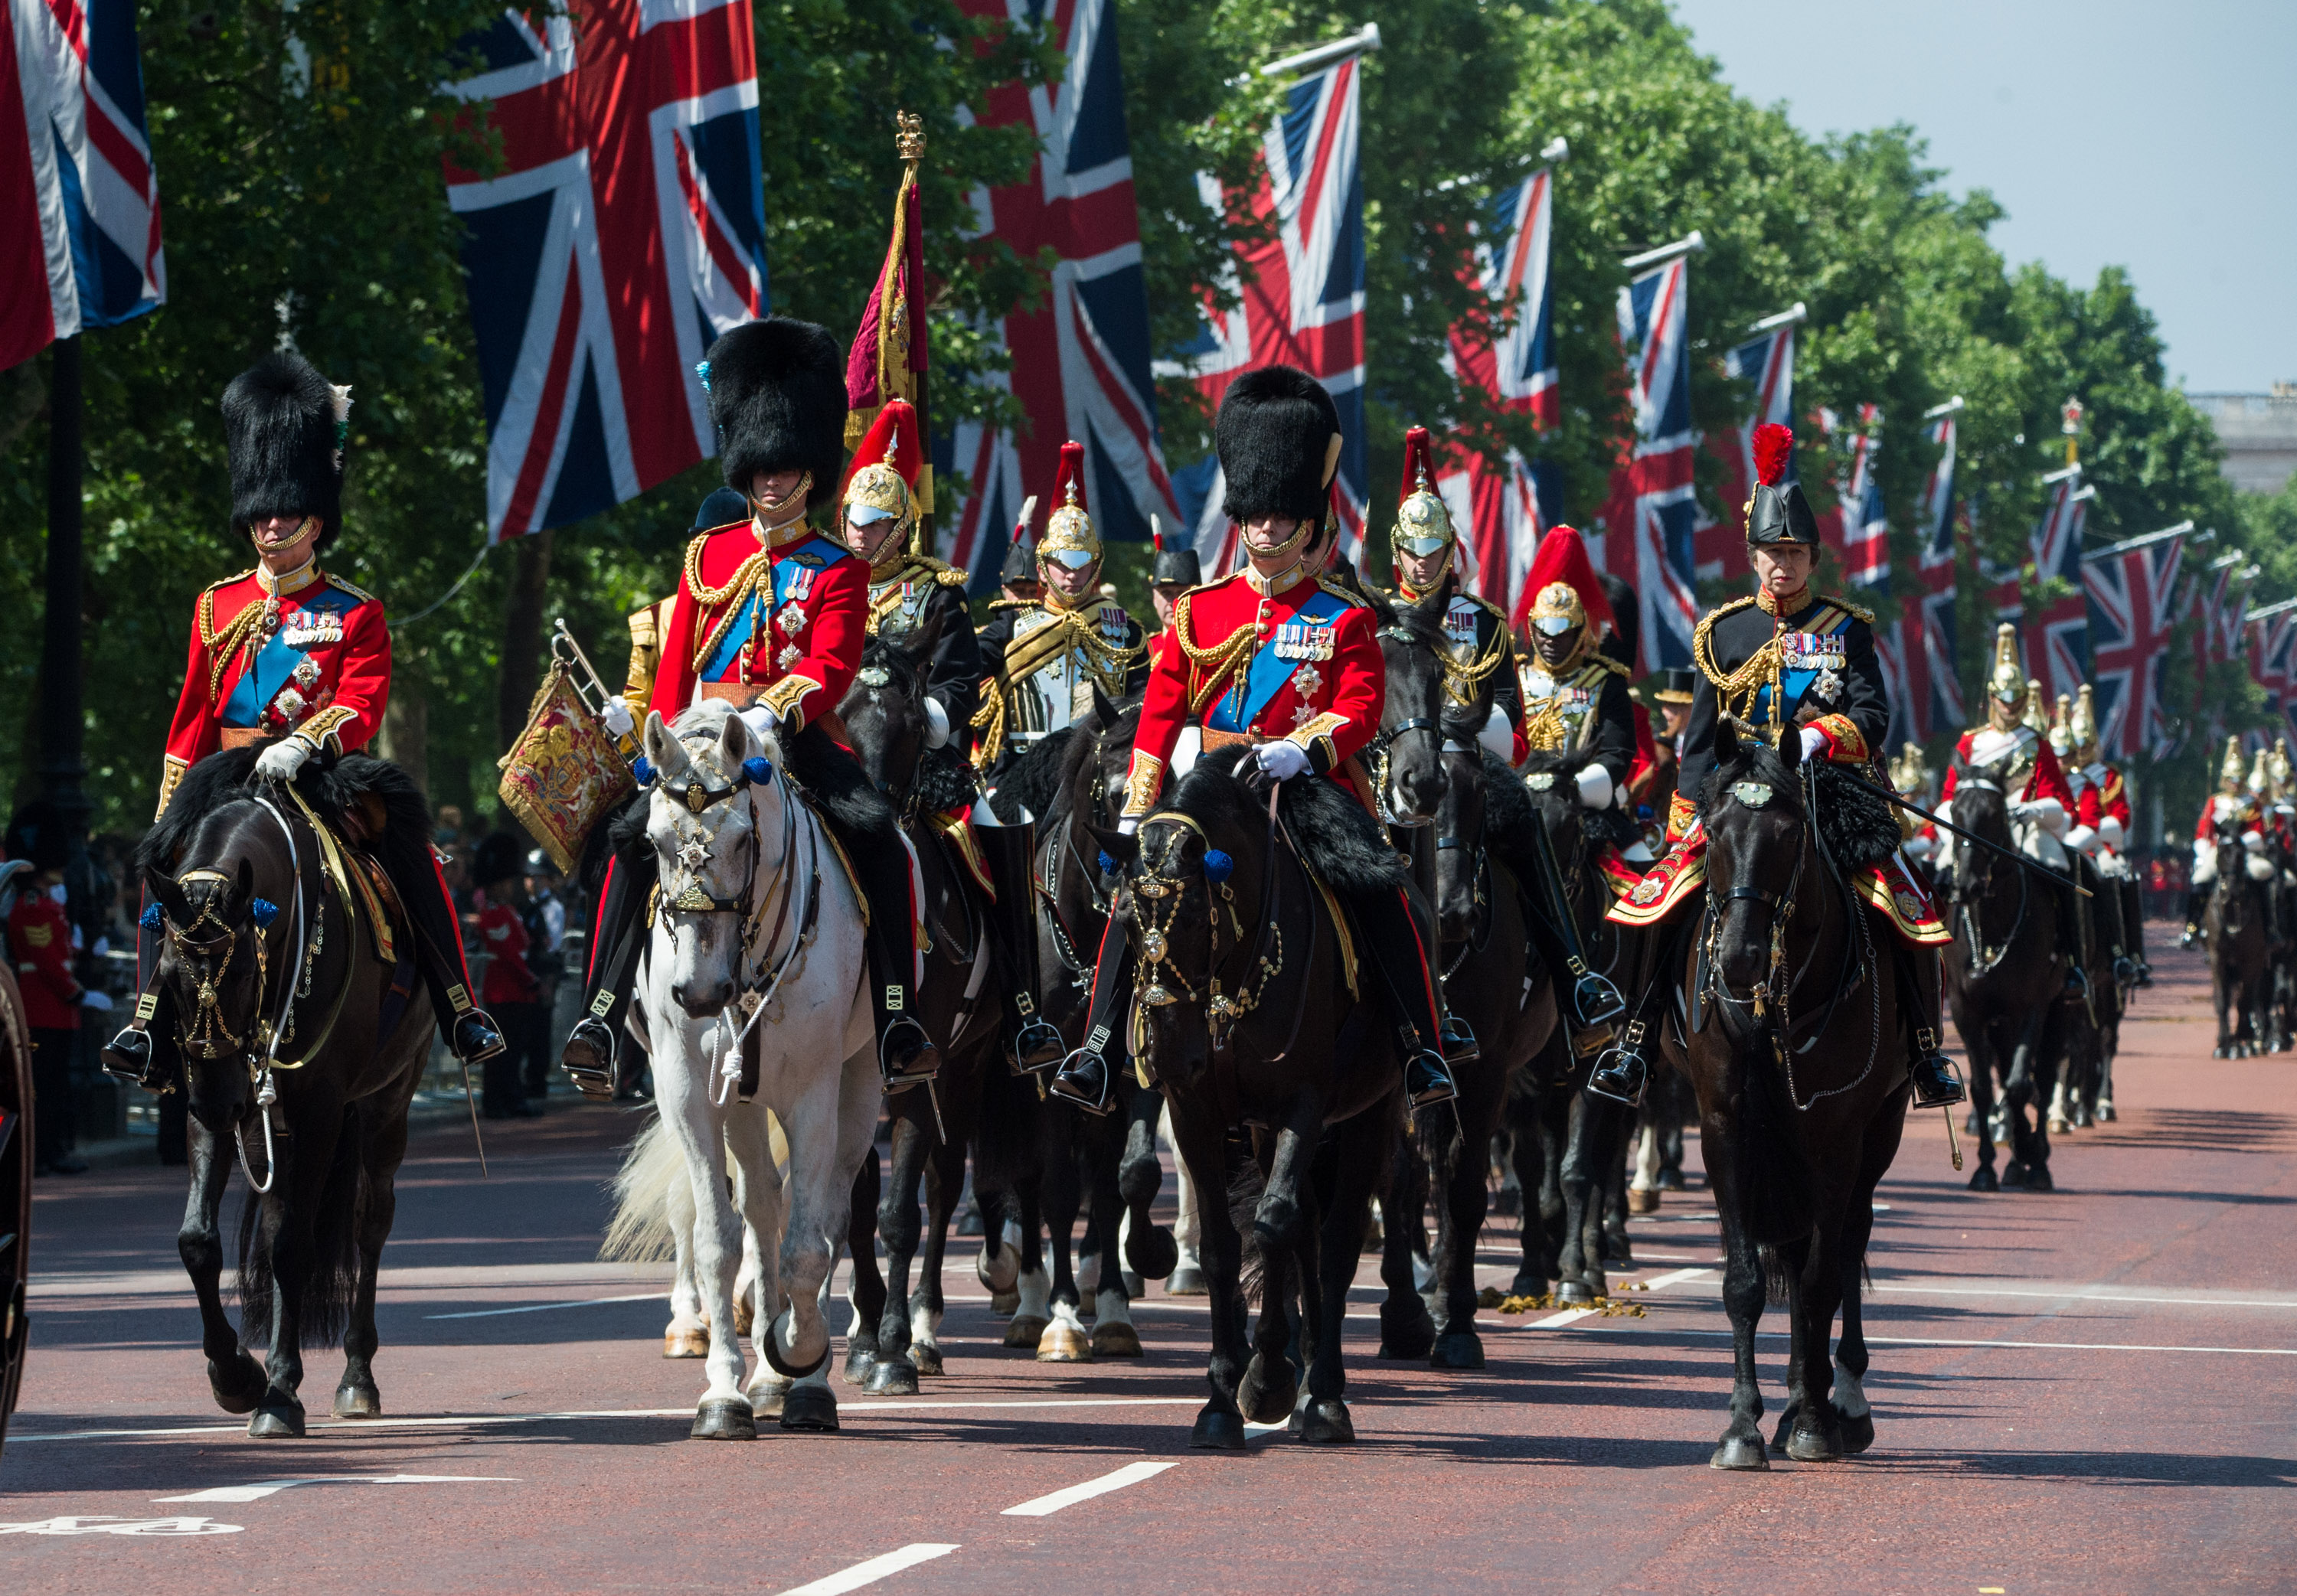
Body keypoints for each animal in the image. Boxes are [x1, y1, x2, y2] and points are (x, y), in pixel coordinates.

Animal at [136, 753, 434, 1442]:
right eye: (168, 975)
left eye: (245, 970)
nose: (222, 1102)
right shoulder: (211, 1104)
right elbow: (199, 1240)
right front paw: (235, 1374)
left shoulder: (319, 1107)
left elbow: (294, 1246)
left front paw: (277, 1392)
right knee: (278, 1220)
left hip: (385, 1101)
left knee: (368, 1220)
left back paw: (356, 1376)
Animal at [629, 707, 877, 1442]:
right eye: (653, 840)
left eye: (742, 837)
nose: (698, 993)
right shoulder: (688, 1093)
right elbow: (720, 1239)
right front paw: (723, 1393)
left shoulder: (815, 1093)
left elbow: (808, 1246)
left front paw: (801, 1352)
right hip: (741, 1103)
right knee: (764, 1208)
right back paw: (764, 1377)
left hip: (862, 1084)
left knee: (825, 1215)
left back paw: (801, 1374)